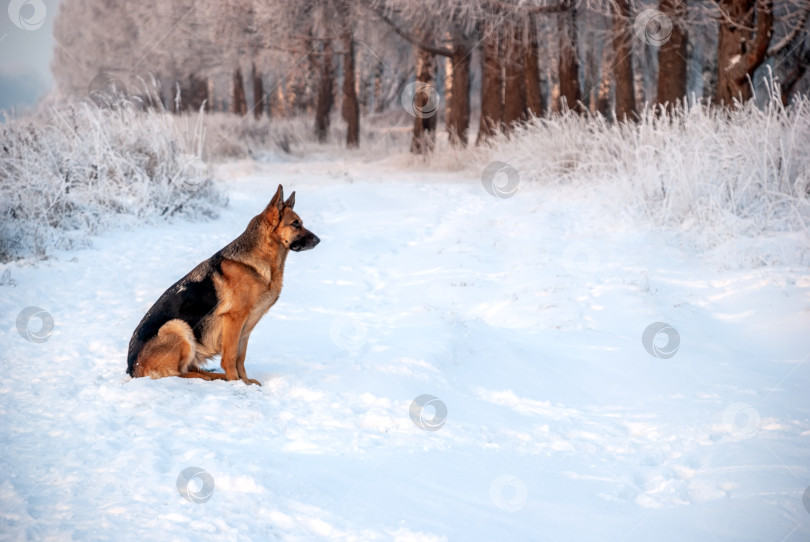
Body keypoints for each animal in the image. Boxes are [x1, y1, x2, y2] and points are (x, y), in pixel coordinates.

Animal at [125, 187, 316, 386]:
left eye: (300, 223)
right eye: (295, 224)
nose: (318, 240)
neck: (260, 256)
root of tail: (132, 368)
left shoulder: (246, 325)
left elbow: (240, 357)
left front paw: (244, 381)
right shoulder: (234, 319)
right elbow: (230, 357)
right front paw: (236, 382)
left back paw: (214, 376)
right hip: (177, 326)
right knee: (178, 373)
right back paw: (205, 377)